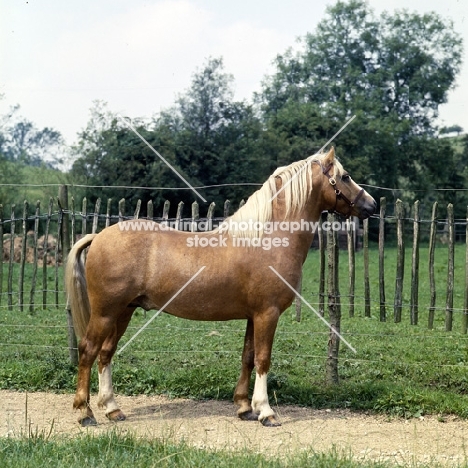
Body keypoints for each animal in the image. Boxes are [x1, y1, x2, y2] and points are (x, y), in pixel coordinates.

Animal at [66, 148, 376, 426]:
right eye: (345, 176)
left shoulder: (254, 316)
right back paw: (84, 412)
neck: (268, 238)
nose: (371, 205)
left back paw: (112, 409)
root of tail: (99, 236)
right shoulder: (268, 314)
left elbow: (248, 357)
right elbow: (263, 359)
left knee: (105, 354)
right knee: (88, 351)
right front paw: (266, 411)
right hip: (106, 312)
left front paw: (245, 407)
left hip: (123, 311)